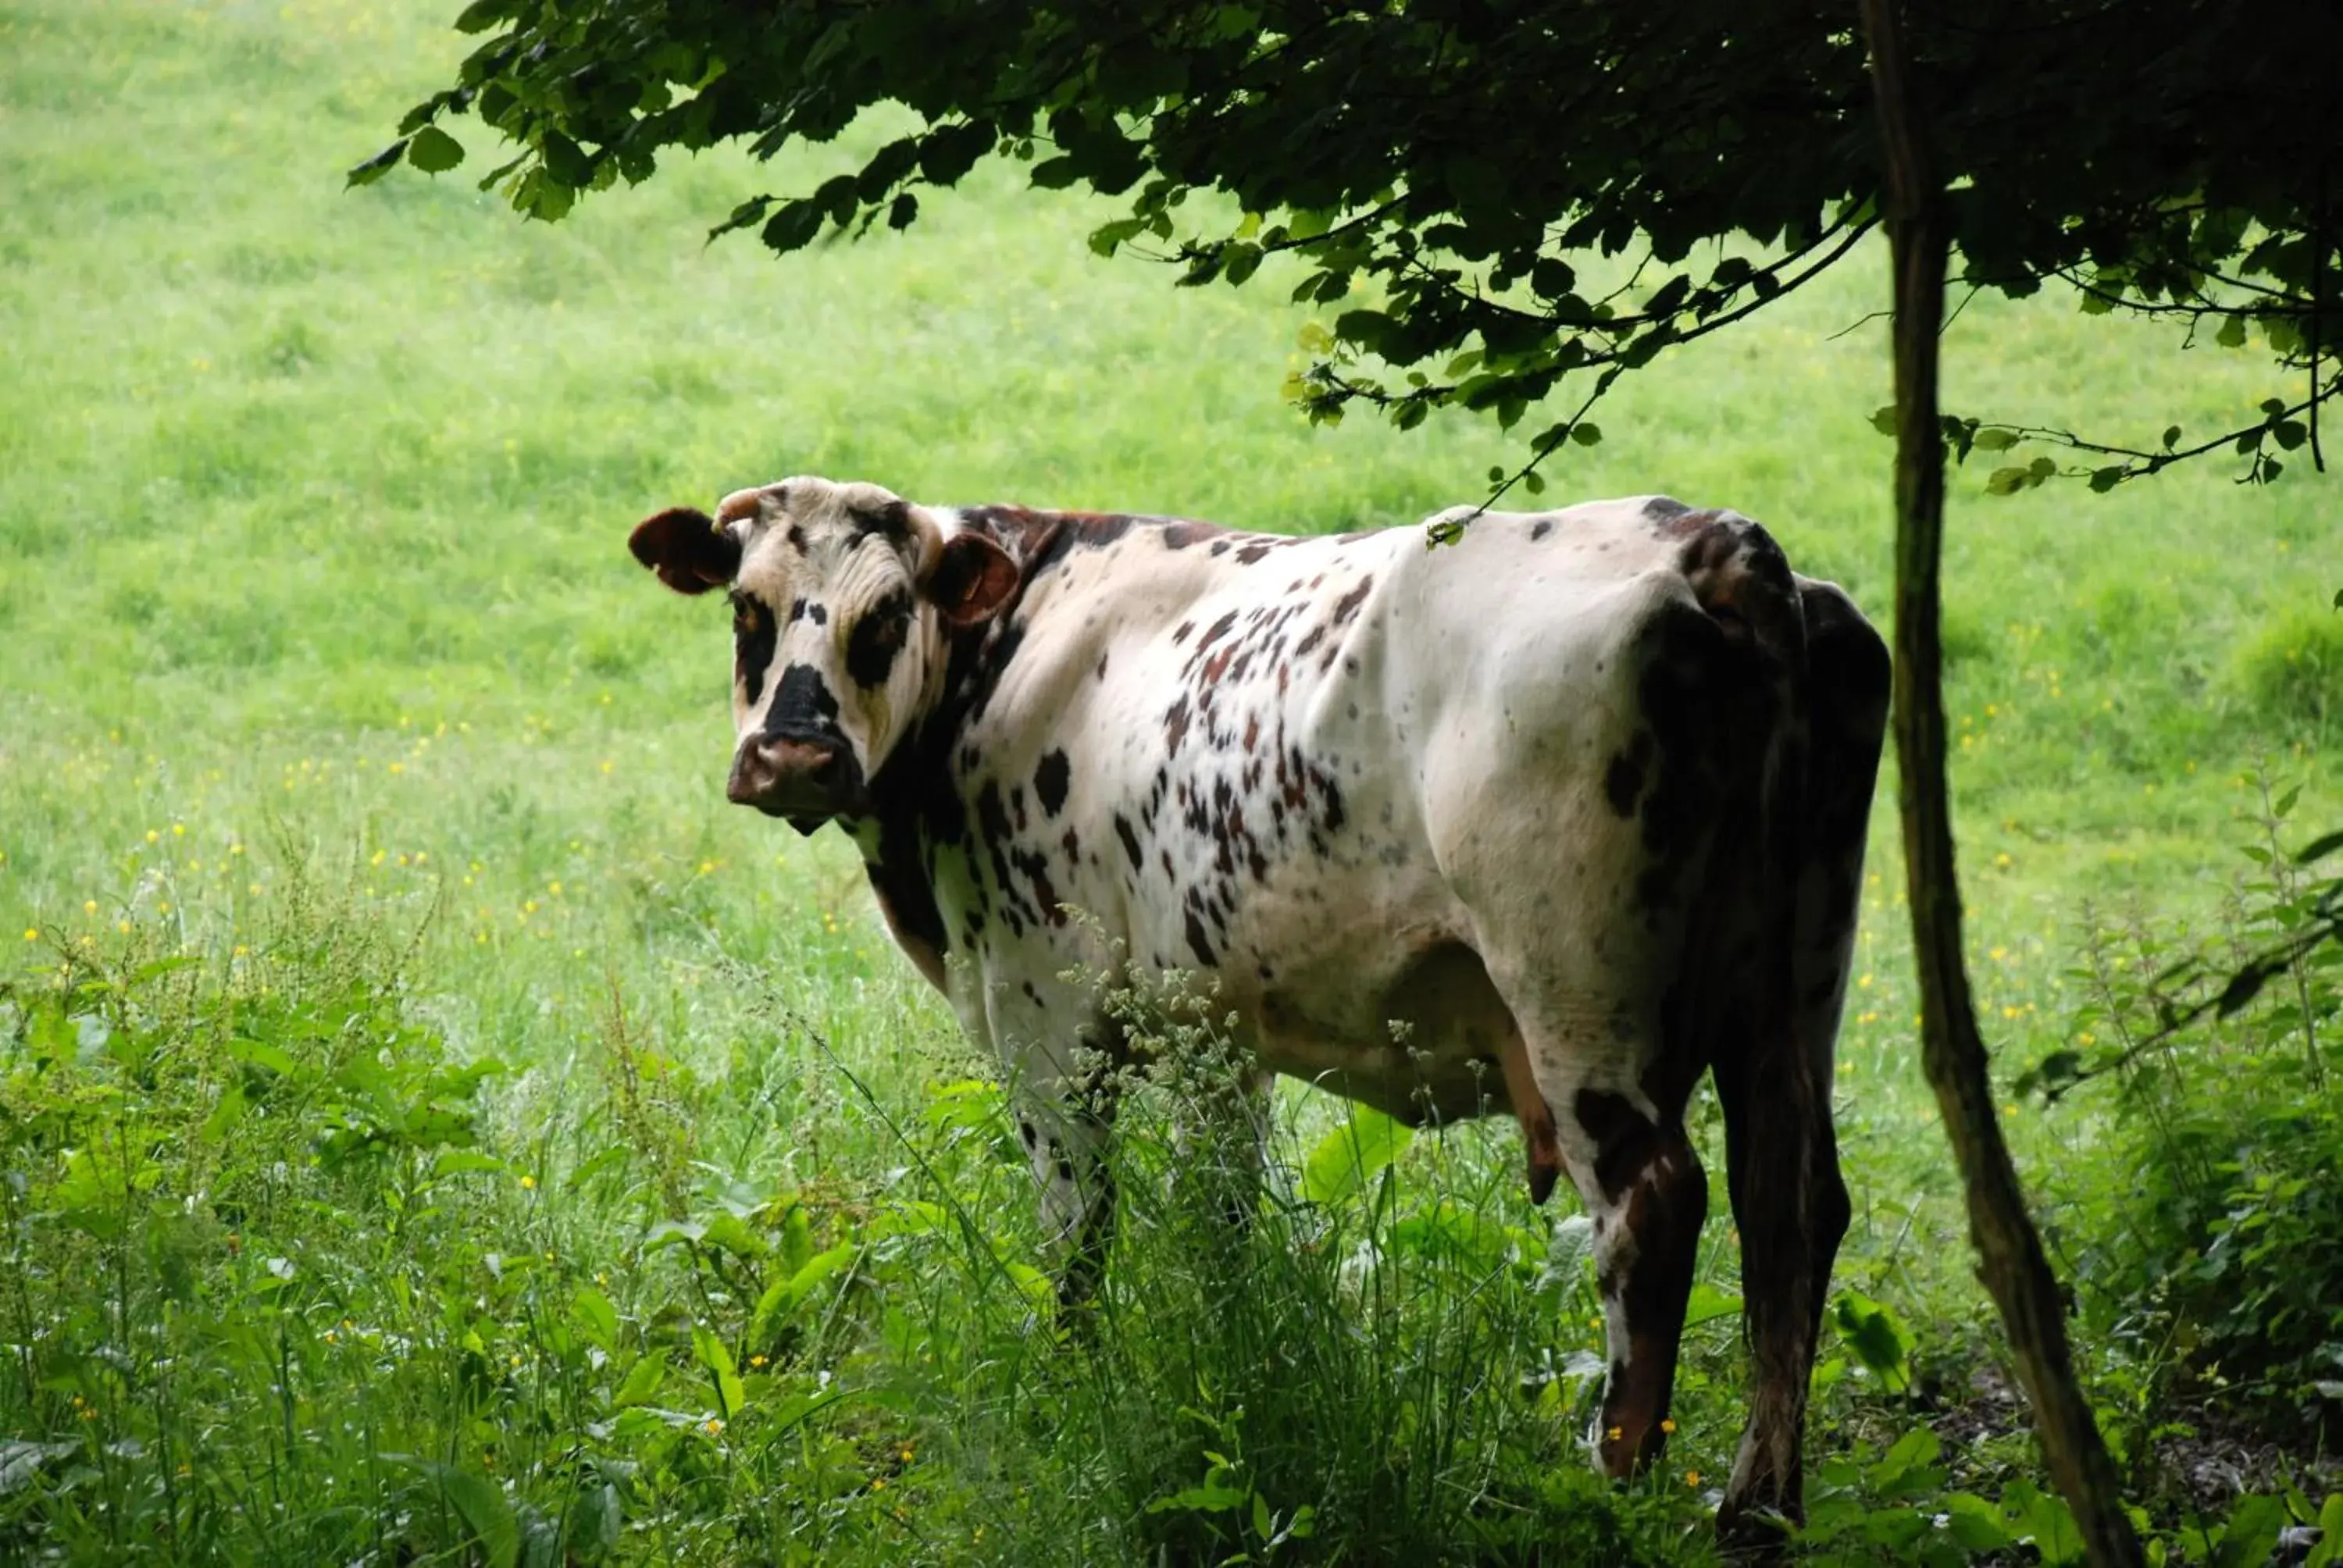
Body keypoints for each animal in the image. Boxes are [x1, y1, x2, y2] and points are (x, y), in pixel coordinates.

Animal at [633, 473, 1893, 1527]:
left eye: (886, 614)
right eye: (748, 608)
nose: (792, 758)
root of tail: (1719, 543)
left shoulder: (1044, 1018)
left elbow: (1079, 1234)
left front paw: (1074, 1388)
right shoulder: (1217, 1035)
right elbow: (1222, 1227)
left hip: (1578, 1000)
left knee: (1653, 1204)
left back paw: (1611, 1480)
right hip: (1793, 987)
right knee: (1793, 1206)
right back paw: (1757, 1507)